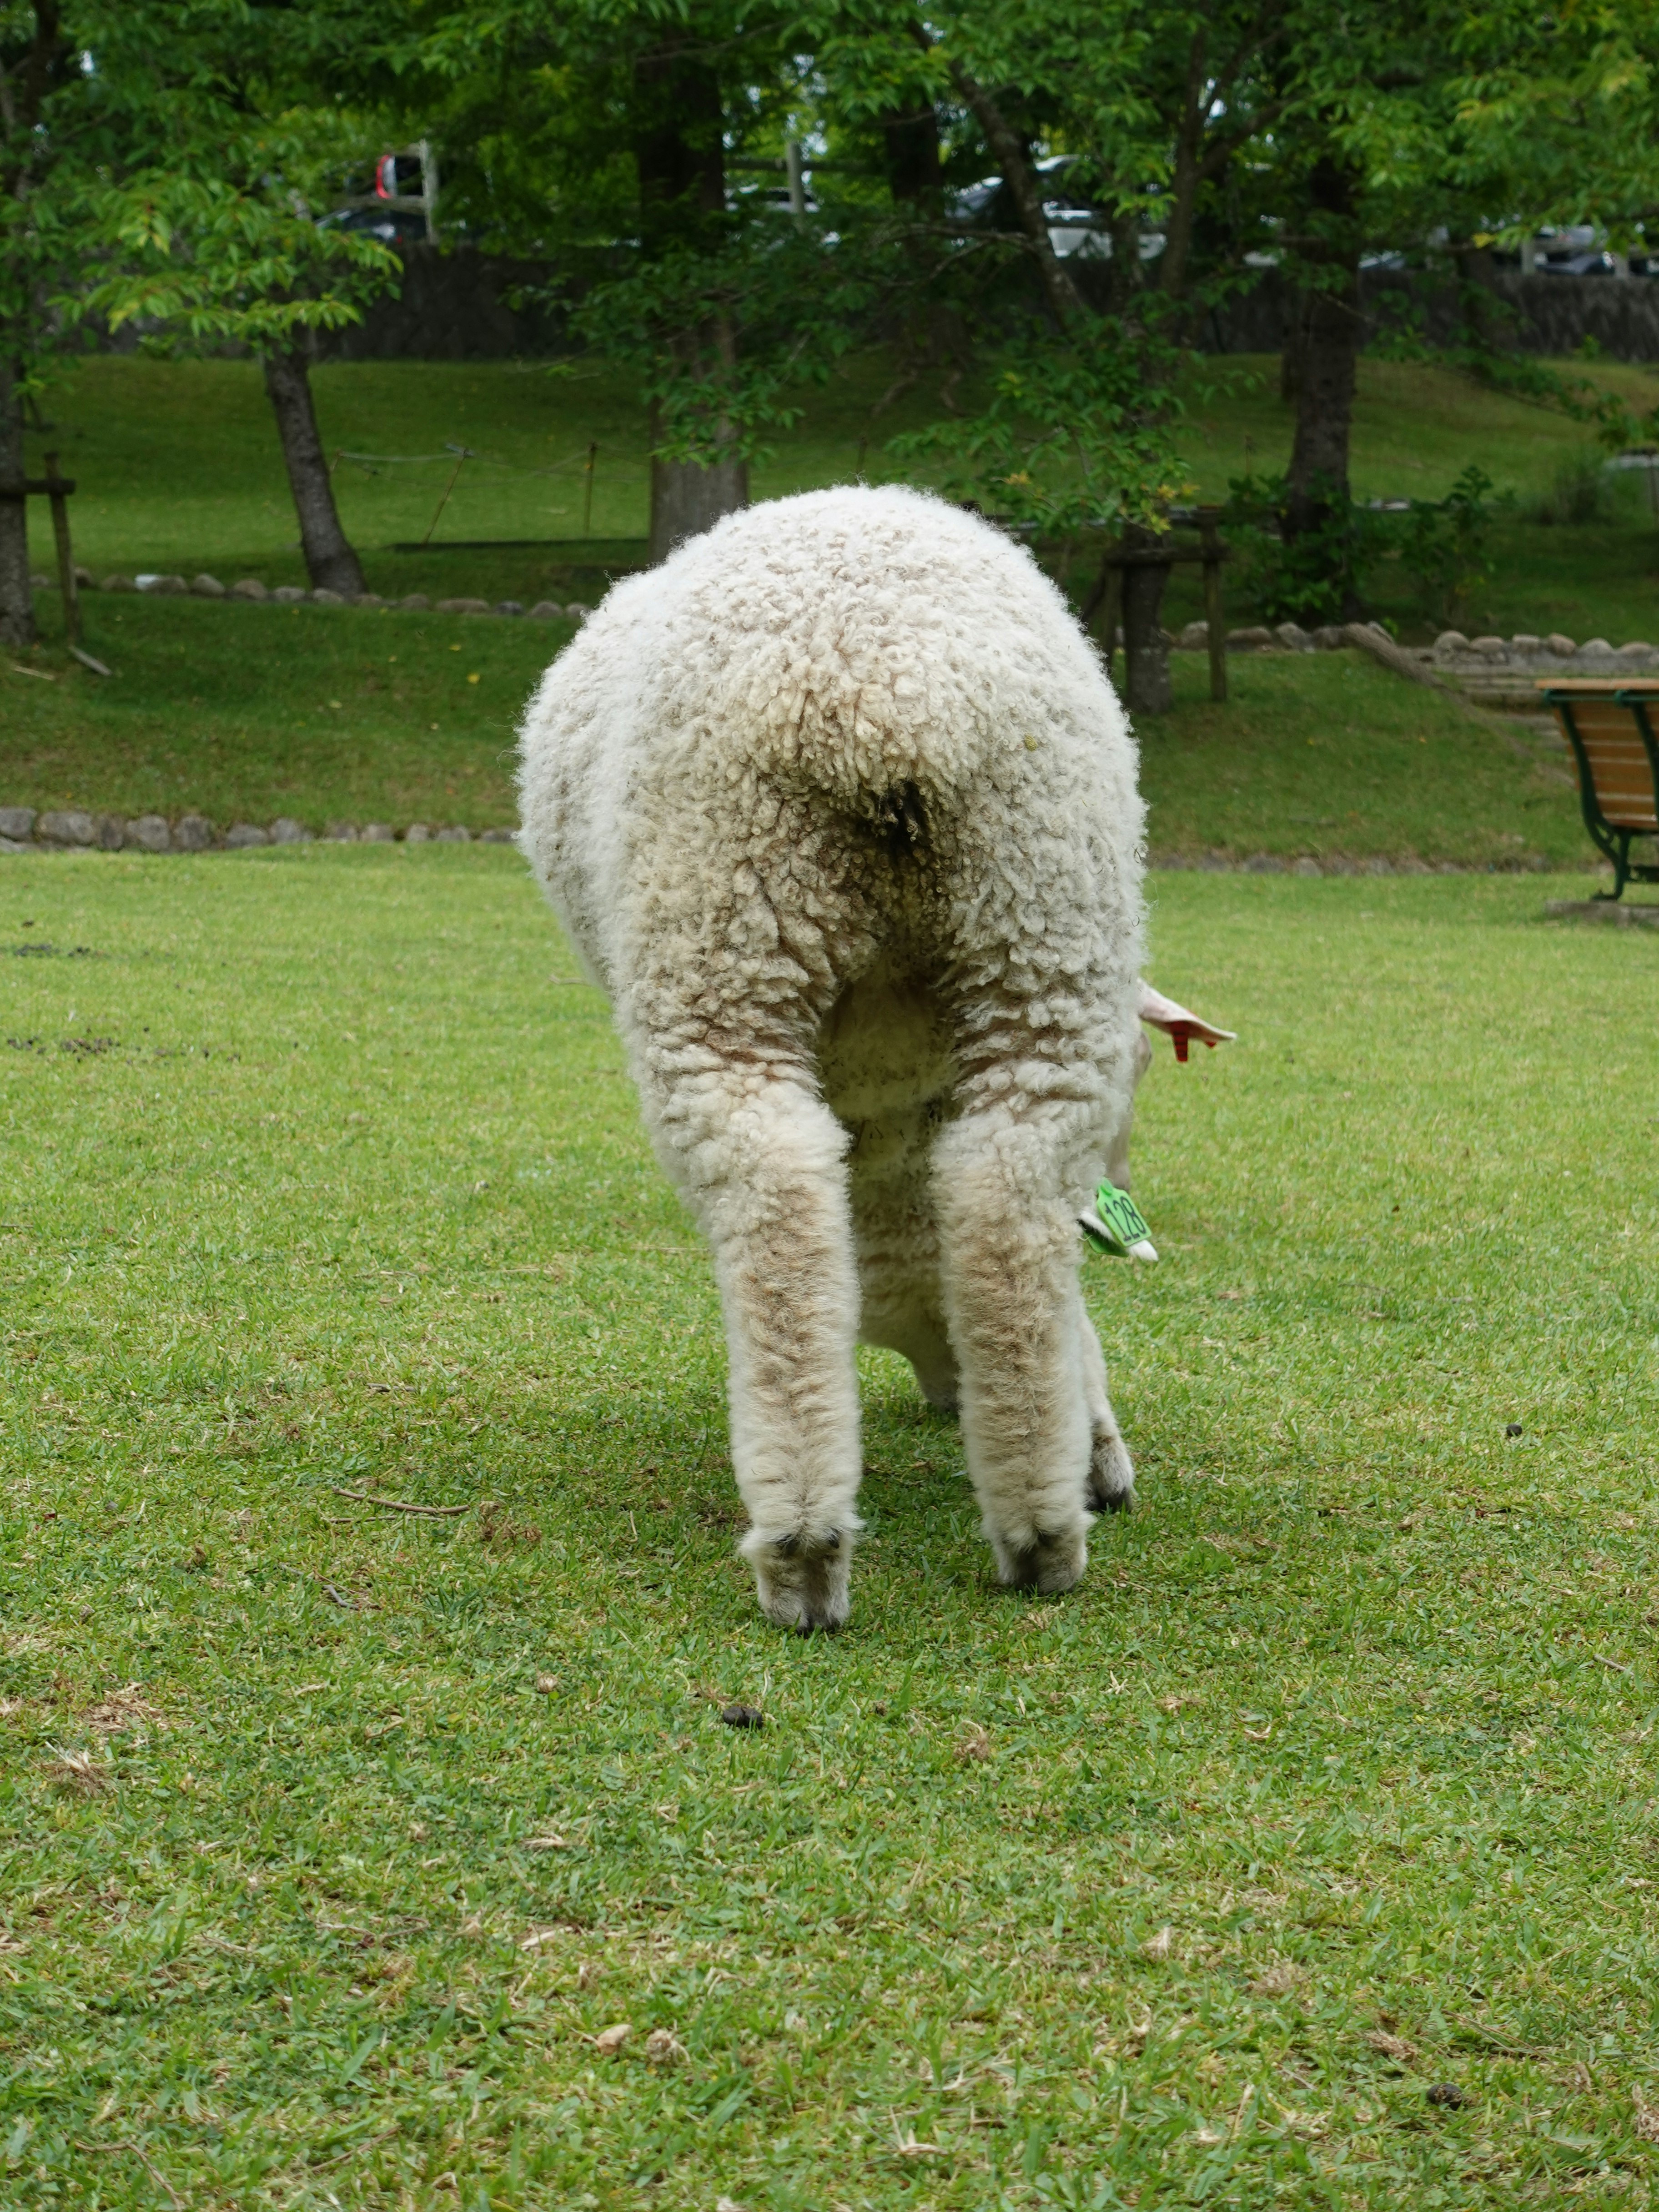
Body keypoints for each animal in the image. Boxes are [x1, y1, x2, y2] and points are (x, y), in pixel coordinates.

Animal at [518, 483, 1156, 1632]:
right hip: (1045, 917)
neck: (893, 1125)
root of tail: (885, 689)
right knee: (1006, 1208)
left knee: (776, 1216)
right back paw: (1039, 1530)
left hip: (721, 939)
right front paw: (1096, 1452)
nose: (944, 1395)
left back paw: (804, 1548)